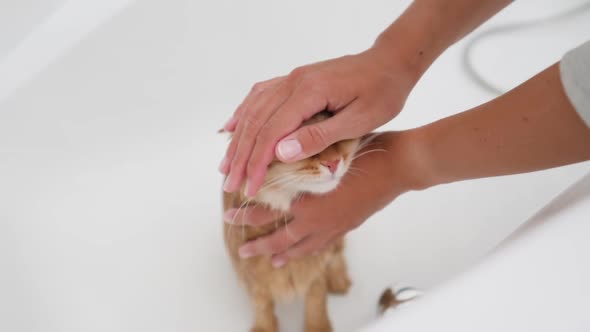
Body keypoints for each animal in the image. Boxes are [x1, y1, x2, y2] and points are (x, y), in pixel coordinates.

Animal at [225, 112, 364, 332]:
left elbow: (316, 303)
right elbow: (262, 307)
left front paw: (319, 327)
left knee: (337, 257)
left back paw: (339, 281)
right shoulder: (252, 278)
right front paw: (264, 328)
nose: (333, 163)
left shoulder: (316, 273)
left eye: (336, 137)